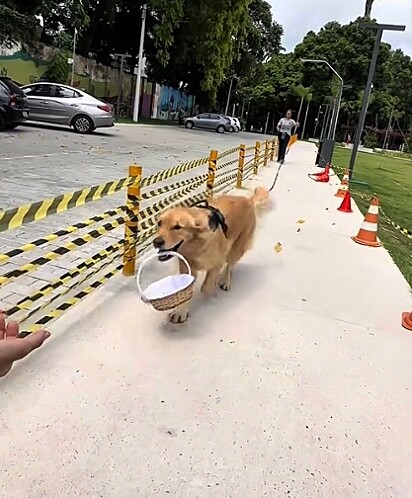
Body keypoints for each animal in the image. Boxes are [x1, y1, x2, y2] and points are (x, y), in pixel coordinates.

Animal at [153, 187, 268, 322]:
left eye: (177, 227)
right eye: (159, 223)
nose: (156, 242)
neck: (195, 245)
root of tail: (248, 200)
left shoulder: (216, 262)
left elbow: (206, 286)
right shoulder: (186, 266)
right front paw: (180, 311)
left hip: (237, 248)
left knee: (230, 266)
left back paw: (225, 281)